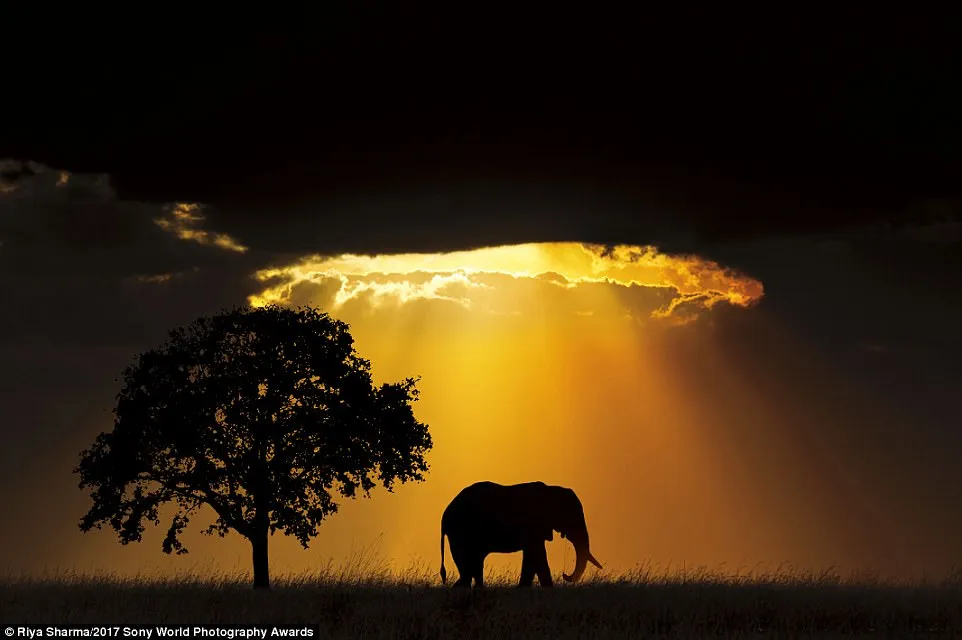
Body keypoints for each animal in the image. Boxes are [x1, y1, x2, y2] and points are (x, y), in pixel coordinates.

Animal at [440, 480, 600, 592]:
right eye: (571, 518)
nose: (564, 575)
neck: (551, 489)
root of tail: (445, 515)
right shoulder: (533, 525)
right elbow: (537, 555)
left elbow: (534, 556)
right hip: (461, 530)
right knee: (468, 563)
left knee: (474, 564)